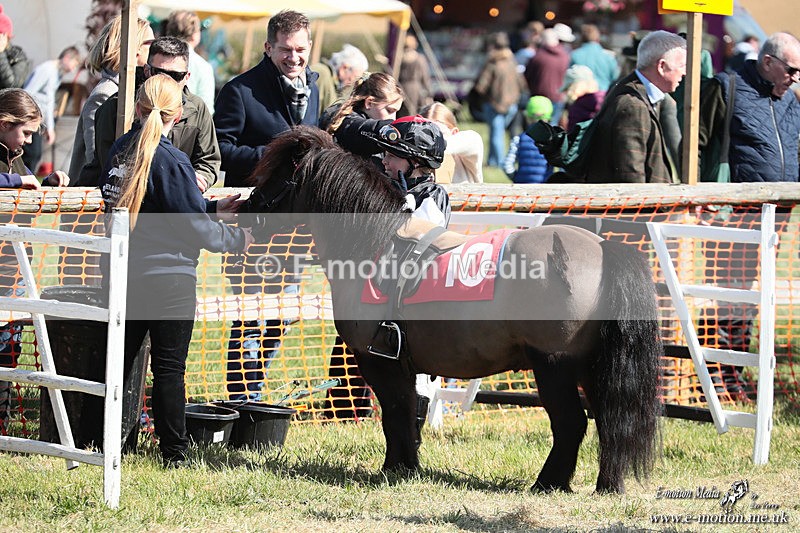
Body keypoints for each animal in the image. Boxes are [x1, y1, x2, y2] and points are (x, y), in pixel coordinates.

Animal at [243, 126, 662, 494]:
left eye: (278, 174)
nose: (250, 214)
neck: (374, 246)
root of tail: (603, 248)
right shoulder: (405, 364)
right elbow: (408, 411)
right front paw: (407, 466)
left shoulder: (378, 361)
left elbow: (395, 413)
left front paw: (396, 468)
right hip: (593, 366)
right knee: (611, 421)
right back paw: (607, 484)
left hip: (555, 366)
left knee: (572, 424)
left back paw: (548, 484)